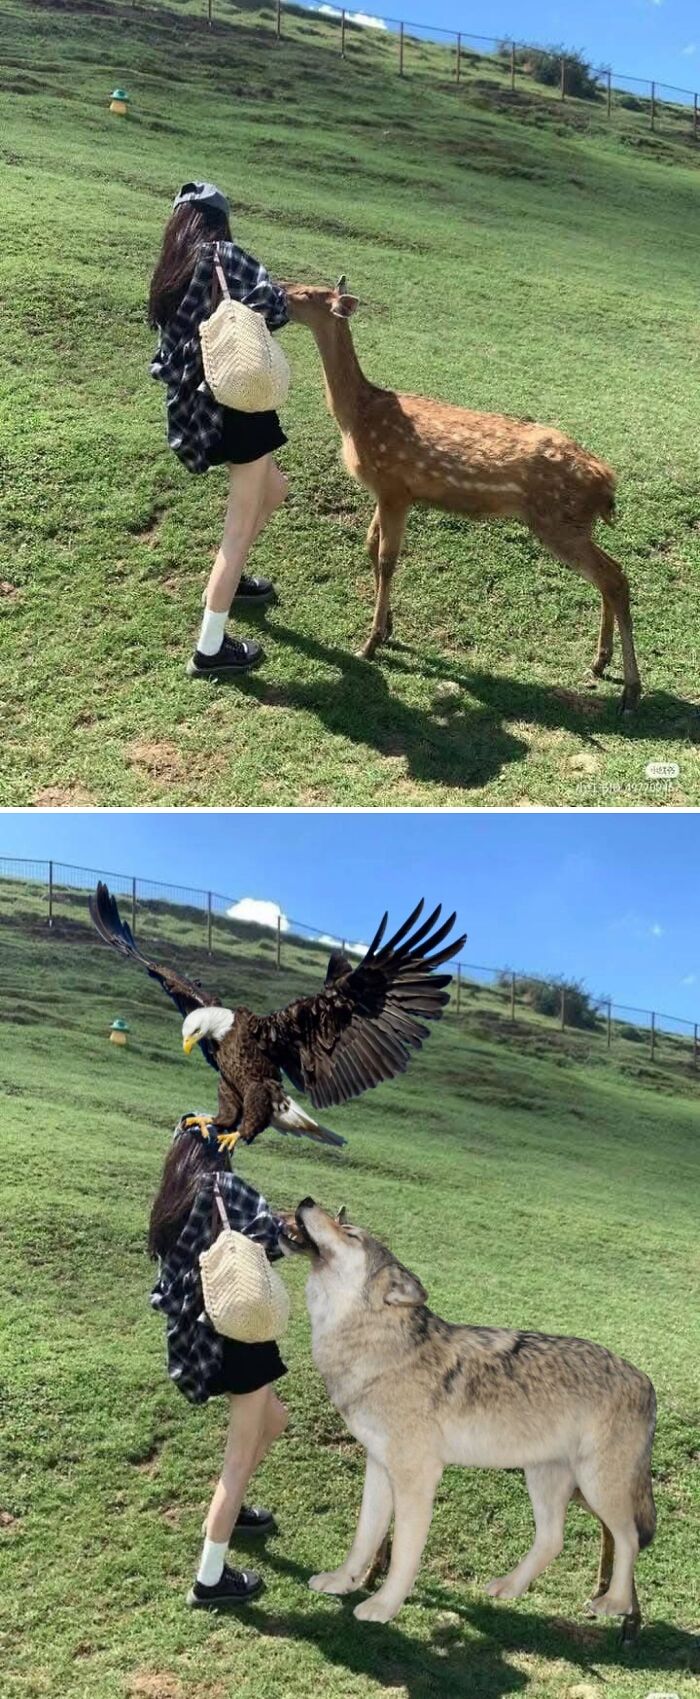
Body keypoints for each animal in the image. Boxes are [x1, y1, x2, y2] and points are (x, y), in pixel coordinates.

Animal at [282, 1200, 656, 1632]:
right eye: (343, 1223)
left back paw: (615, 1603)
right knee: (553, 1539)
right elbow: (364, 1537)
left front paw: (383, 1607)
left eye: (350, 1233)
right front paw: (342, 1582)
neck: (378, 1346)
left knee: (628, 1539)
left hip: (596, 1487)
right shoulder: (378, 1466)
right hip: (545, 1480)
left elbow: (404, 1555)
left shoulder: (417, 1479)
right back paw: (510, 1587)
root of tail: (646, 1381)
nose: (306, 1201)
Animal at [285, 279, 642, 712]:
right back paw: (600, 663)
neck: (356, 417)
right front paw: (388, 628)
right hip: (571, 523)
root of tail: (607, 482)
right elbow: (370, 546)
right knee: (609, 576)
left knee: (614, 577)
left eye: (307, 294)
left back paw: (630, 690)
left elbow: (387, 559)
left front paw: (370, 643)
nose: (277, 289)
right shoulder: (388, 491)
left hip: (558, 520)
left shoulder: (394, 488)